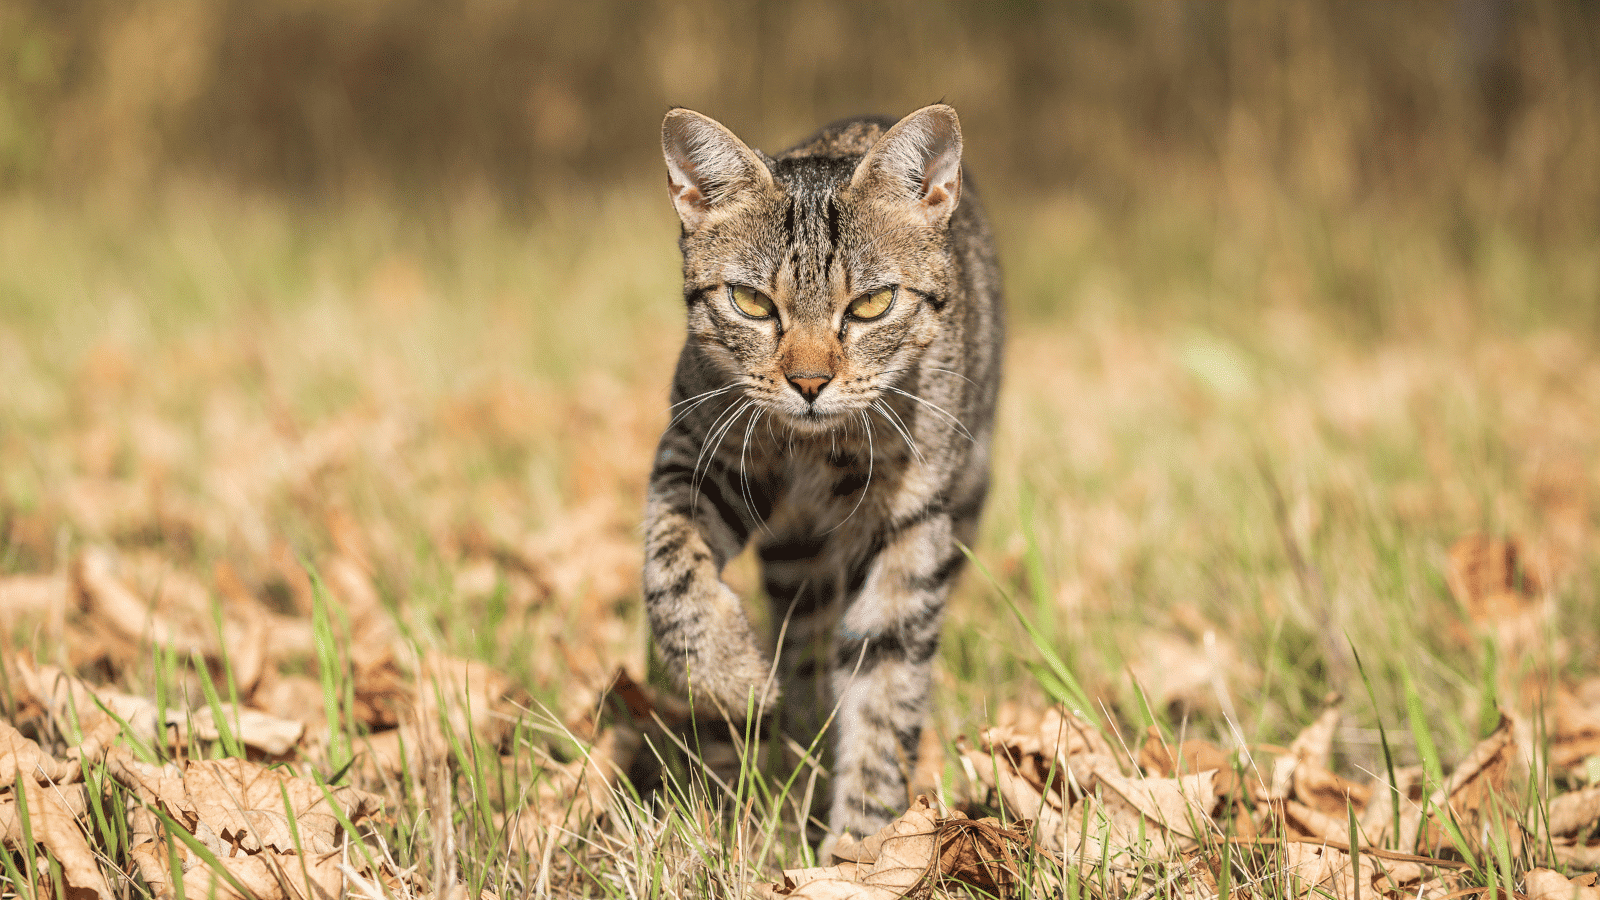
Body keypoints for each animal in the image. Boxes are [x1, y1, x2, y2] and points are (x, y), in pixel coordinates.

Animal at [640, 103, 998, 839]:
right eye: (750, 302)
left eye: (871, 305)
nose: (808, 383)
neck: (813, 452)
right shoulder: (698, 455)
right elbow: (671, 569)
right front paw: (732, 675)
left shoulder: (909, 528)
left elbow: (885, 695)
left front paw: (861, 845)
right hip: (794, 556)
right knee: (803, 641)